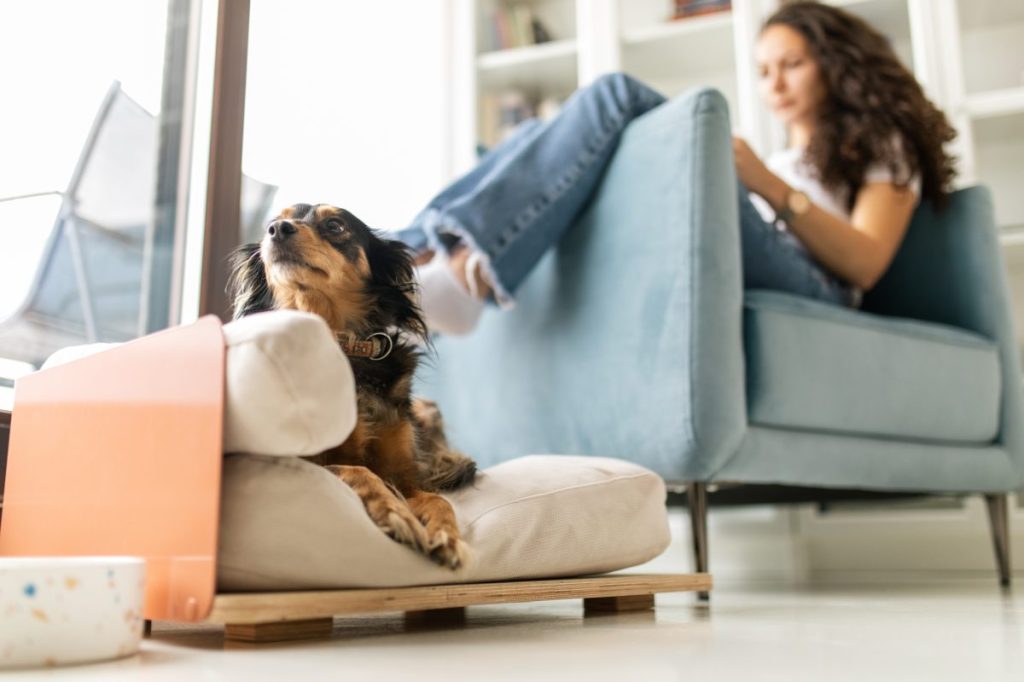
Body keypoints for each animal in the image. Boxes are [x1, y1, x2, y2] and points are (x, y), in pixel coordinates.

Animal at [228, 201, 475, 569]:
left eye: (335, 226)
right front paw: (396, 513)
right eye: (271, 223)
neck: (342, 347)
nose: (278, 230)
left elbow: (437, 500)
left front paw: (448, 536)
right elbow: (359, 470)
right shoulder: (314, 464)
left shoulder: (407, 476)